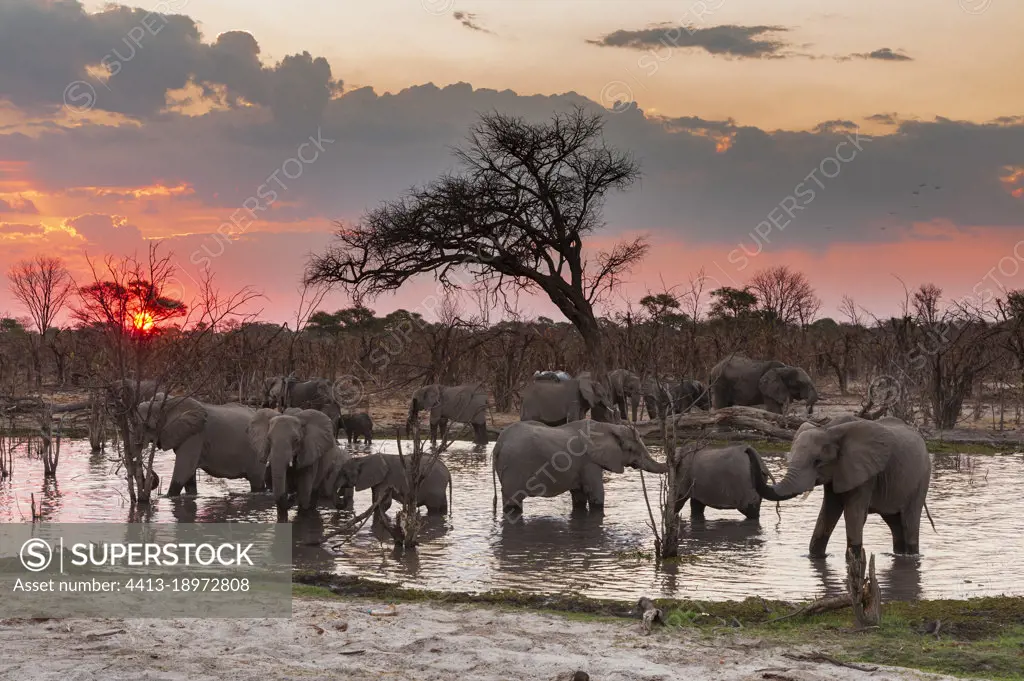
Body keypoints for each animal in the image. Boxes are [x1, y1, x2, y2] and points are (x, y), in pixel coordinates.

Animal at [138, 393, 266, 493]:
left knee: (257, 481)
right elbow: (189, 479)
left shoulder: (195, 435)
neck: (167, 403)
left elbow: (183, 472)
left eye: (147, 426)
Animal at [493, 417, 667, 518]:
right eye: (631, 449)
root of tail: (499, 444)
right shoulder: (589, 462)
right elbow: (597, 496)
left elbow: (579, 497)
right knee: (513, 504)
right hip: (514, 467)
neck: (608, 427)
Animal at [745, 413, 937, 557]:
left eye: (818, 462)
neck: (829, 430)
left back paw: (911, 554)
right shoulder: (838, 473)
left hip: (921, 479)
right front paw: (814, 557)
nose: (747, 449)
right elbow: (828, 512)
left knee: (909, 521)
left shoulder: (865, 474)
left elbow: (853, 514)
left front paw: (853, 558)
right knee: (894, 522)